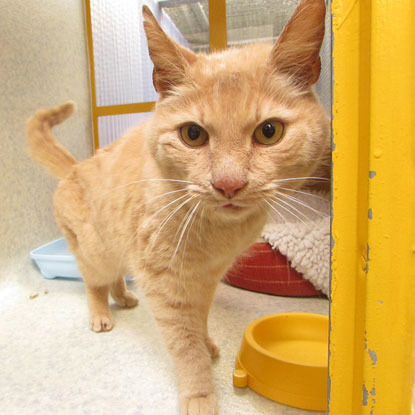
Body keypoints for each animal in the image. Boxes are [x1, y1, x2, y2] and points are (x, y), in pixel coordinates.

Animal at [26, 1, 332, 414]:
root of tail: (76, 166)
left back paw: (123, 297)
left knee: (117, 277)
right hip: (95, 251)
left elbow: (200, 321)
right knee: (95, 283)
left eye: (269, 132)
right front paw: (199, 393)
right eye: (193, 135)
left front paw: (207, 343)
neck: (215, 235)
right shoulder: (166, 285)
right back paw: (102, 313)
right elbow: (185, 346)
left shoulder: (207, 280)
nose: (228, 184)